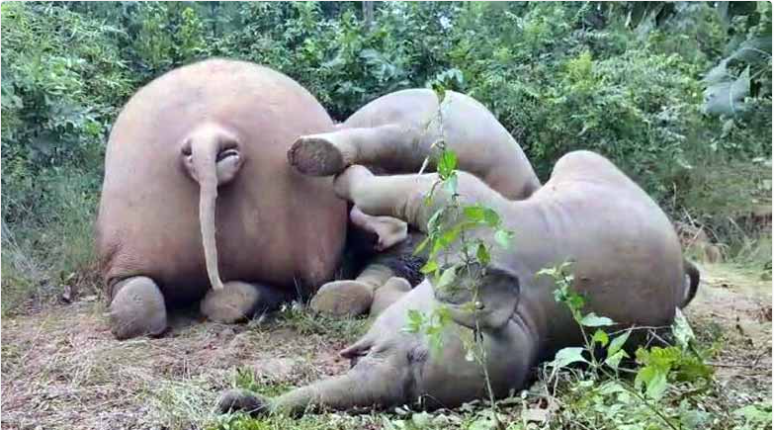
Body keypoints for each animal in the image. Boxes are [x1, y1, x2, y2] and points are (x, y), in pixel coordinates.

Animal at [217, 150, 700, 415]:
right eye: (413, 352)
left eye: (415, 366)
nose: (239, 403)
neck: (527, 314)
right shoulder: (474, 215)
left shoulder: (468, 210)